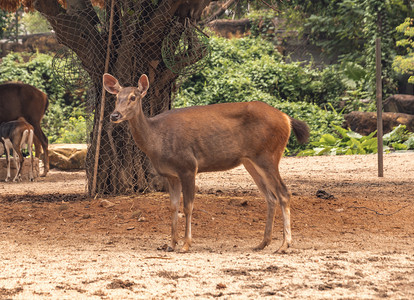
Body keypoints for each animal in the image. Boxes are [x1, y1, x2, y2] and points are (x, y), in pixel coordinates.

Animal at [103, 72, 310, 253]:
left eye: (133, 97)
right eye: (116, 97)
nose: (114, 115)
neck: (157, 140)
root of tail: (286, 119)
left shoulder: (188, 166)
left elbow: (188, 206)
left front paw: (186, 244)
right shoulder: (170, 175)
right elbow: (173, 206)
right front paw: (171, 244)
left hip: (268, 155)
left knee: (283, 193)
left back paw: (284, 245)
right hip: (250, 160)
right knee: (270, 197)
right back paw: (262, 243)